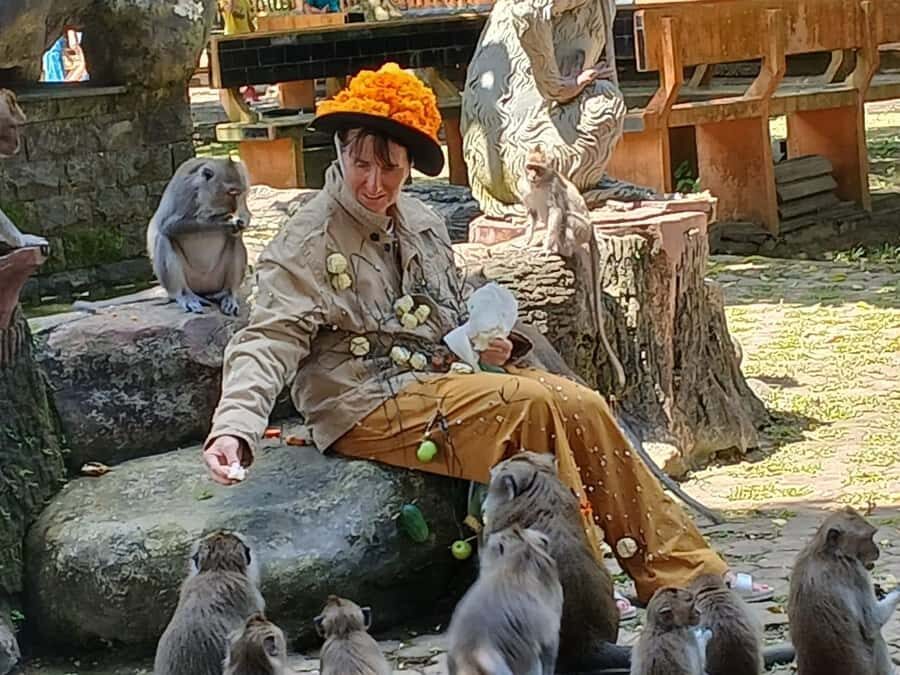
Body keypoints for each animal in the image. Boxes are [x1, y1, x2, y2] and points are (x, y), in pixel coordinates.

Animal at [146, 157, 251, 316]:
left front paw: (240, 222)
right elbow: (168, 225)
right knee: (163, 238)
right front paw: (220, 222)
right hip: (191, 282)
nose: (233, 208)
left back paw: (228, 294)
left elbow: (245, 215)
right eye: (231, 192)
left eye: (238, 193)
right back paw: (184, 295)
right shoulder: (184, 190)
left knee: (235, 239)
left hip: (215, 281)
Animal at [517, 145, 626, 396]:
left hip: (582, 229)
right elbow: (532, 214)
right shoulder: (524, 189)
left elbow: (556, 212)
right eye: (530, 167)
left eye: (538, 169)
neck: (538, 185)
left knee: (566, 218)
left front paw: (545, 248)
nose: (532, 176)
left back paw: (561, 249)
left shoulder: (553, 189)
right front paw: (527, 241)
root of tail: (592, 229)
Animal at [788, 506, 900, 675]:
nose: (877, 551)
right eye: (868, 538)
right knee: (875, 635)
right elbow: (871, 622)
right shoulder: (857, 572)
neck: (827, 553)